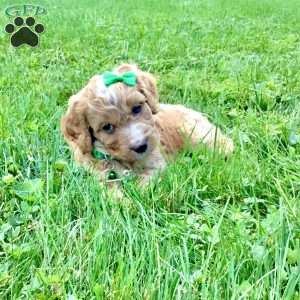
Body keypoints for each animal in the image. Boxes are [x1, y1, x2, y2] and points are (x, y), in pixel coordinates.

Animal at [61, 64, 234, 192]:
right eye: (107, 127)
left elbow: (144, 182)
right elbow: (109, 190)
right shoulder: (96, 173)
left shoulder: (157, 164)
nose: (141, 146)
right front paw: (124, 204)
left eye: (137, 108)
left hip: (199, 135)